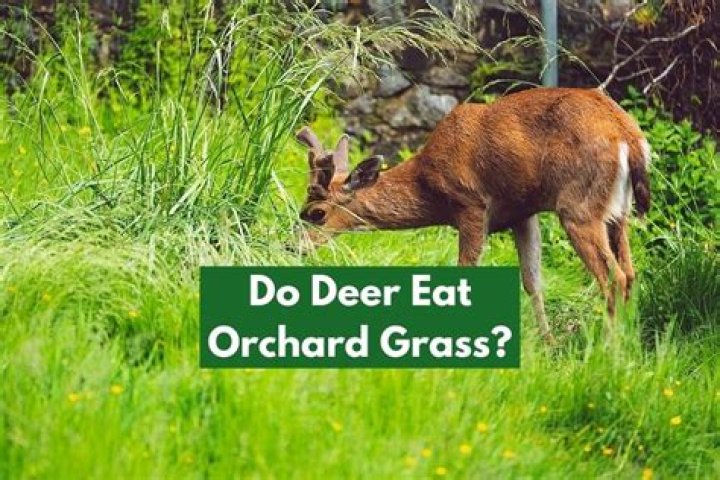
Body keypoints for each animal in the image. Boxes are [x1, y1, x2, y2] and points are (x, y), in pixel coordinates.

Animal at [294, 87, 651, 341]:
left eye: (317, 213)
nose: (295, 246)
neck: (428, 184)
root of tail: (628, 136)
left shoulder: (471, 205)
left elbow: (466, 270)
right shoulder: (522, 214)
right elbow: (533, 282)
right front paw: (548, 345)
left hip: (578, 207)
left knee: (614, 277)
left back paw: (608, 349)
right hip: (617, 212)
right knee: (630, 273)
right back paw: (628, 346)